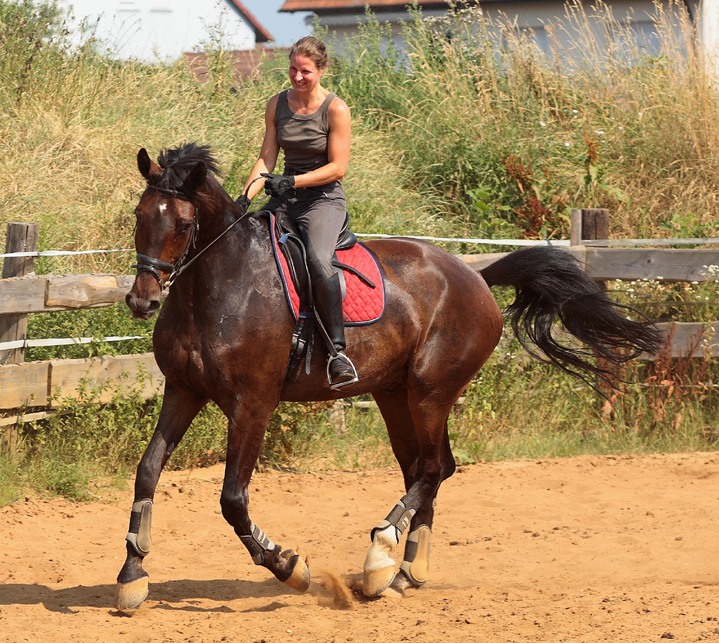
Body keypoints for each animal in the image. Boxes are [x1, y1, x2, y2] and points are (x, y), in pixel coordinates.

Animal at [116, 142, 664, 612]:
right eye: (140, 217)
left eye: (184, 223)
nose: (143, 301)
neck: (221, 284)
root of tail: (475, 276)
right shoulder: (183, 391)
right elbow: (147, 471)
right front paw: (131, 576)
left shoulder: (253, 404)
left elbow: (232, 499)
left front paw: (290, 567)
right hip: (394, 394)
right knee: (426, 469)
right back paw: (405, 572)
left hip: (430, 392)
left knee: (433, 468)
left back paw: (380, 556)